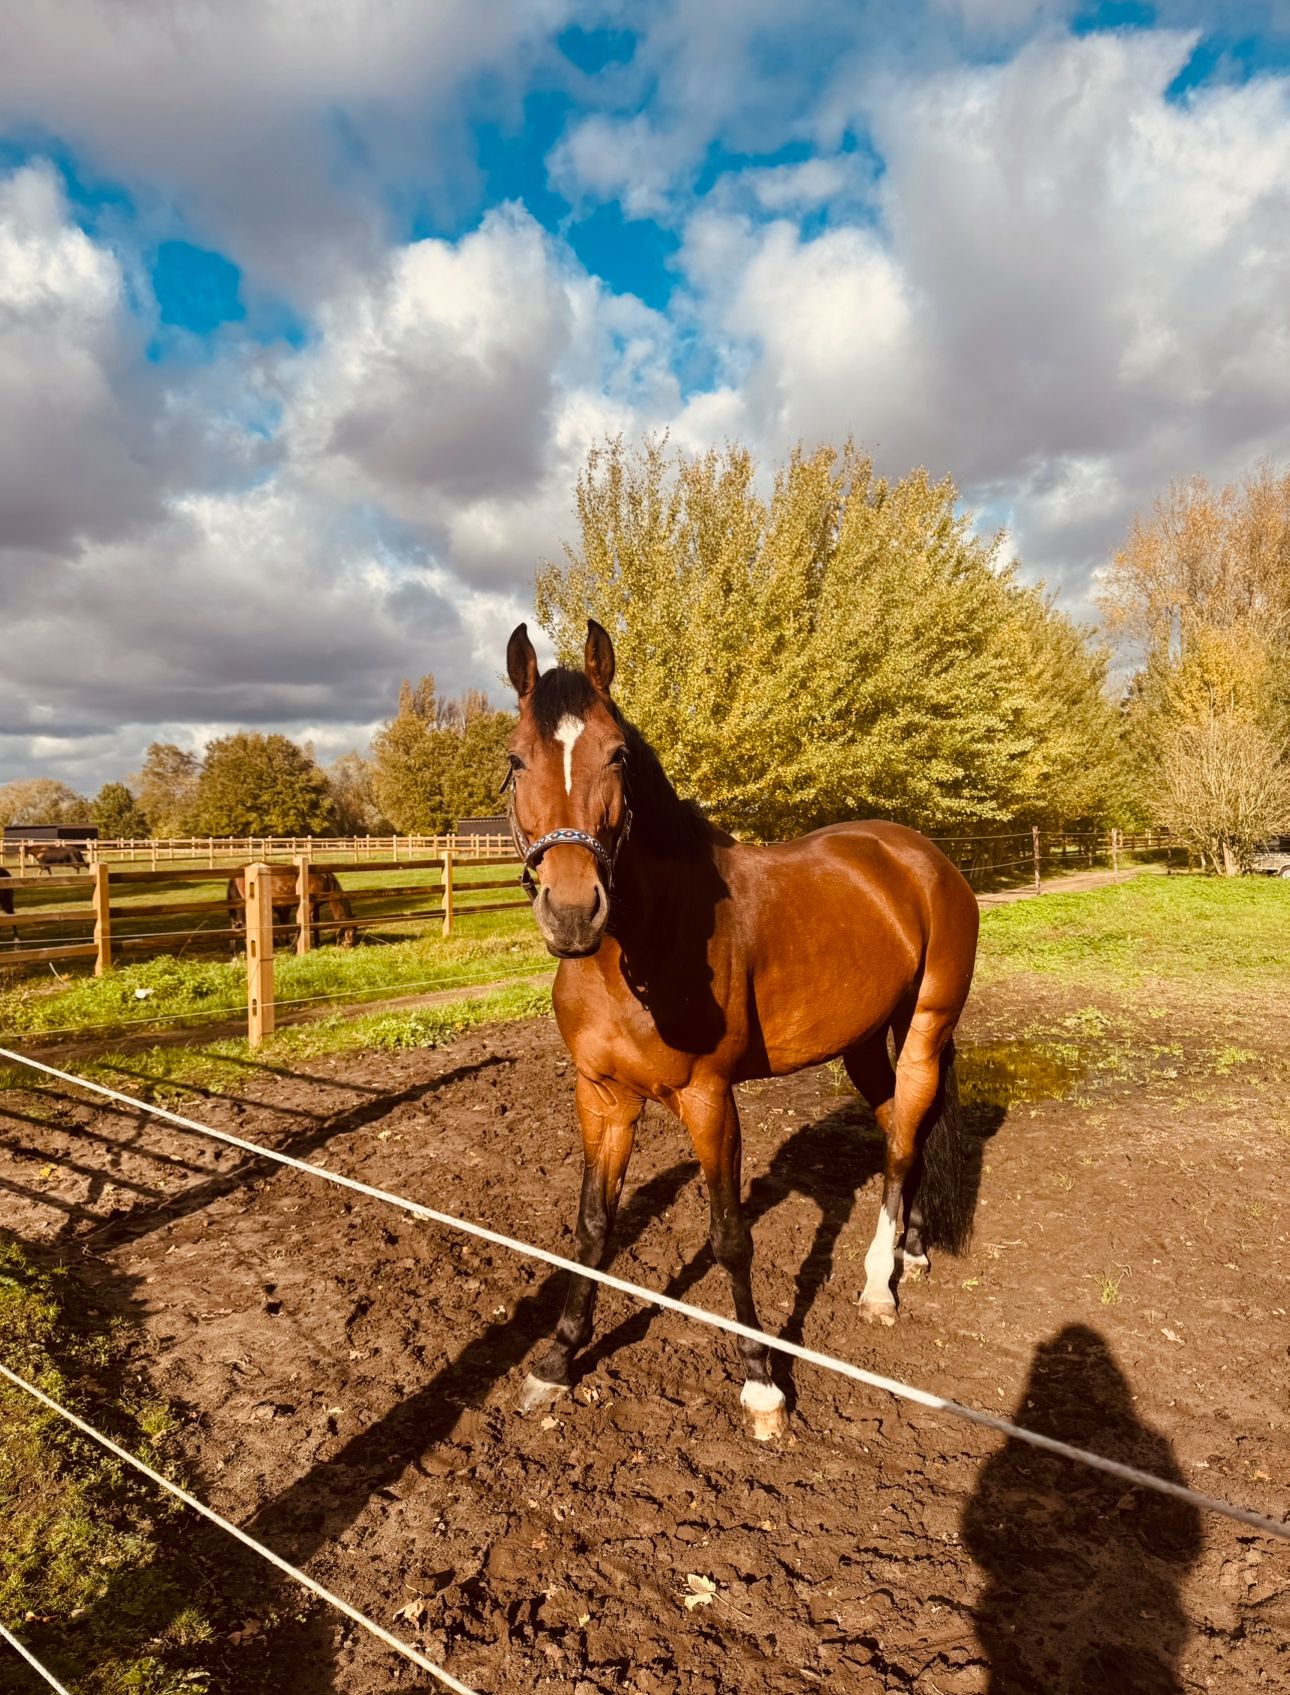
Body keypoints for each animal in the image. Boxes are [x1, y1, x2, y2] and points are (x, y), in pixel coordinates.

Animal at [226, 866, 356, 952]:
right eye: (349, 931)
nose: (350, 946)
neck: (324, 880)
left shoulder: (316, 907)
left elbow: (315, 925)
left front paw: (317, 944)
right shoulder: (309, 905)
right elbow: (302, 926)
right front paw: (292, 947)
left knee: (235, 924)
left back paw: (234, 951)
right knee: (243, 924)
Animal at [503, 621, 980, 1439]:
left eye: (617, 754)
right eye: (514, 759)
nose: (572, 911)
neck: (645, 944)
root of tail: (926, 859)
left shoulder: (709, 1100)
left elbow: (729, 1236)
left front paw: (762, 1383)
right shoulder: (601, 1098)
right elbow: (593, 1227)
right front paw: (558, 1359)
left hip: (922, 1031)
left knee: (902, 1143)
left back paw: (878, 1285)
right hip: (863, 1043)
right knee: (902, 1128)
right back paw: (909, 1253)